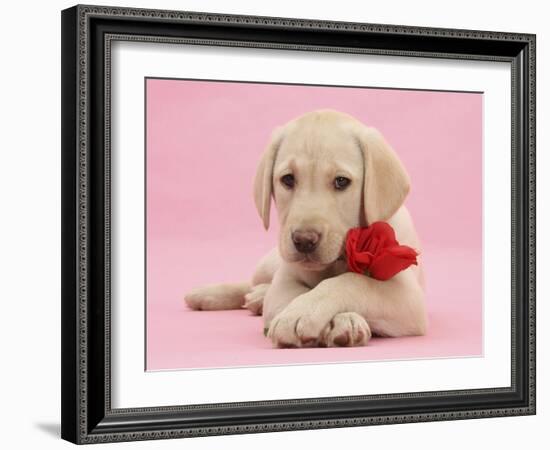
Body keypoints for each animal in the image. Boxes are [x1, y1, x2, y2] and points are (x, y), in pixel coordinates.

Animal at [184, 109, 426, 348]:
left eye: (341, 181)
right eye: (288, 179)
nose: (304, 241)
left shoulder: (408, 297)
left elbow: (352, 282)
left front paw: (327, 317)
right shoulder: (284, 283)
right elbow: (295, 293)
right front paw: (305, 315)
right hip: (269, 263)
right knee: (252, 282)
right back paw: (210, 294)